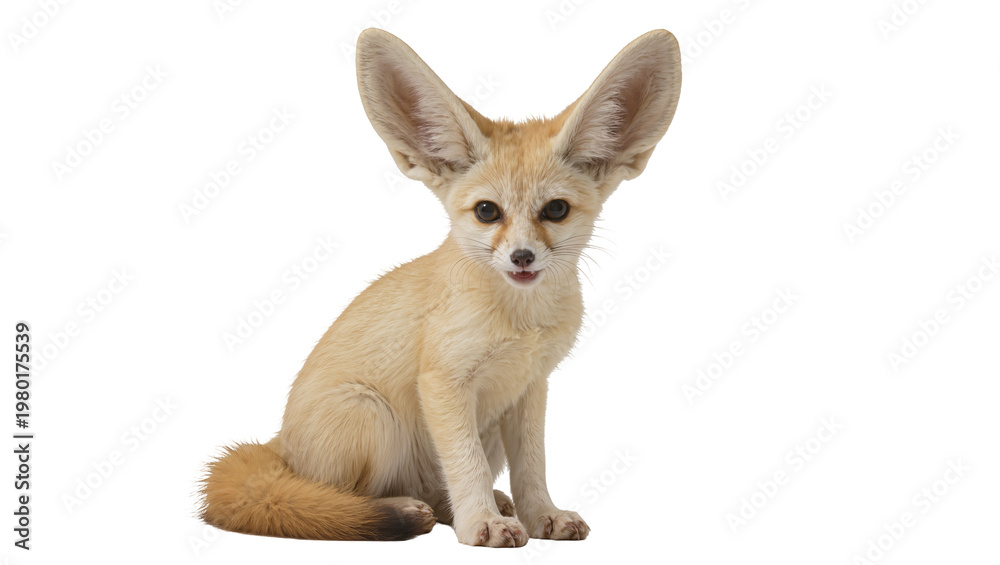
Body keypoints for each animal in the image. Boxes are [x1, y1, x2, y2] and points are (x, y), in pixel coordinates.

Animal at [199, 28, 681, 547]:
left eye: (555, 210)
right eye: (488, 211)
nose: (522, 257)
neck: (521, 323)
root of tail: (280, 443)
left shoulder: (530, 387)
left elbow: (532, 467)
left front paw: (540, 514)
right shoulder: (443, 382)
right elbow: (466, 465)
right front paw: (483, 522)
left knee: (434, 490)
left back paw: (462, 507)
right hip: (373, 415)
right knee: (334, 501)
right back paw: (405, 510)